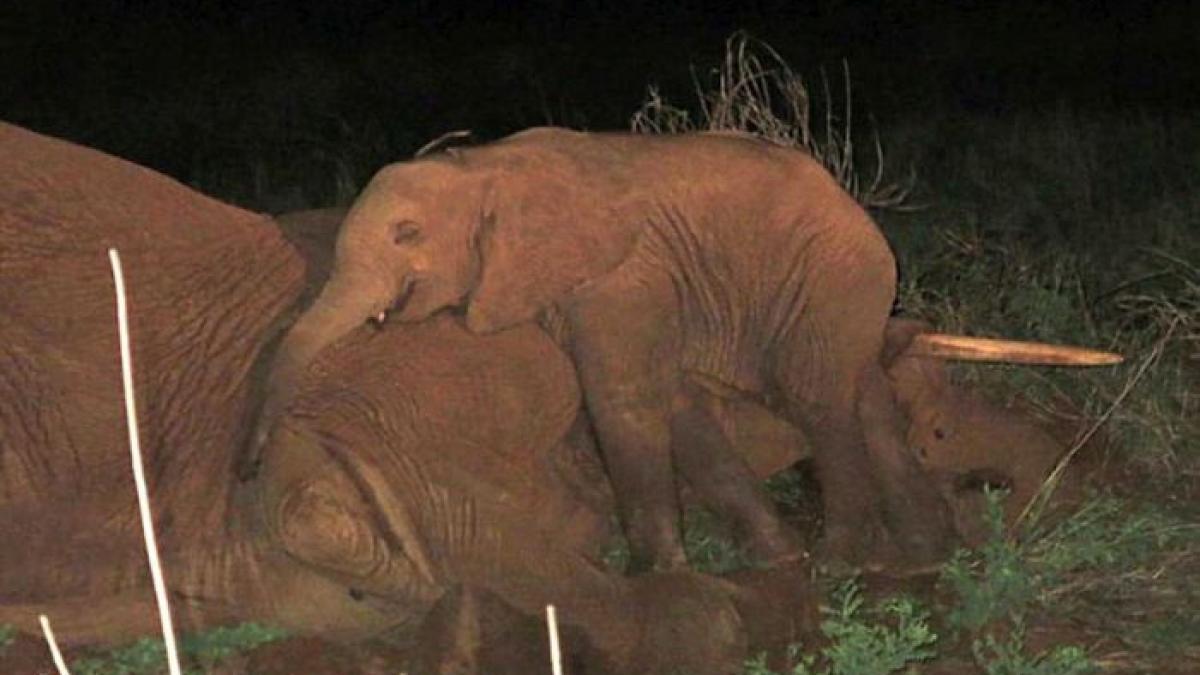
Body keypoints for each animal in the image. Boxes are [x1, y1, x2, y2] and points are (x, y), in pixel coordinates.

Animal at [253, 127, 1108, 574]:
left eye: (406, 234)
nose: (249, 466)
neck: (482, 164)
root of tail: (856, 210)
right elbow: (672, 401)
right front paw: (769, 559)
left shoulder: (620, 277)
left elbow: (625, 402)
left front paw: (659, 579)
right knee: (860, 387)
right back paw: (923, 551)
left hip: (827, 276)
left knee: (819, 399)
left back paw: (843, 560)